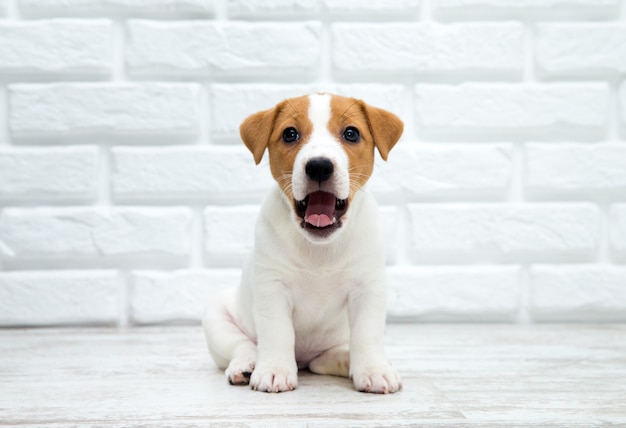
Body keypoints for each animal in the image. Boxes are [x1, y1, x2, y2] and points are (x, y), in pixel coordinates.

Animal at [202, 92, 402, 392]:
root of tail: (304, 358)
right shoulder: (272, 288)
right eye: (290, 134)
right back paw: (245, 366)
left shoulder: (369, 288)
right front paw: (274, 370)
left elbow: (367, 334)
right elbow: (278, 332)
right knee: (243, 345)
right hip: (217, 318)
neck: (319, 250)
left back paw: (347, 360)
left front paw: (374, 370)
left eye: (351, 133)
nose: (319, 166)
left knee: (326, 358)